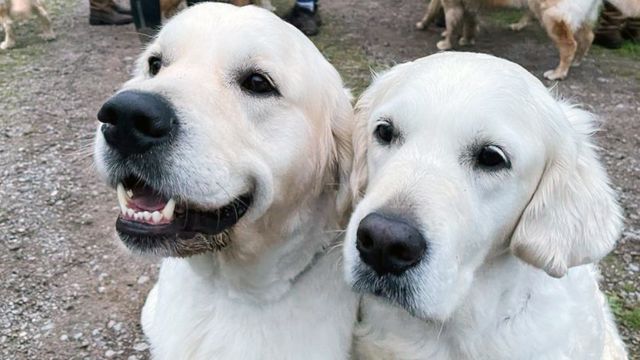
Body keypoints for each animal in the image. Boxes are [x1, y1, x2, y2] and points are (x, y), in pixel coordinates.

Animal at [418, 0, 604, 80]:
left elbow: (449, 21)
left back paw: (558, 73)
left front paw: (445, 43)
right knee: (588, 36)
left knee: (569, 45)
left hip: (551, 15)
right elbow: (465, 20)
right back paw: (577, 61)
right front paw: (466, 38)